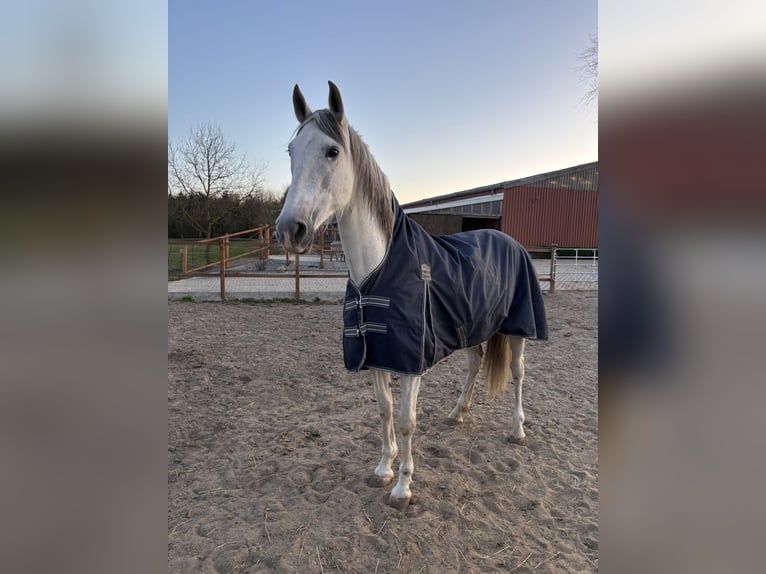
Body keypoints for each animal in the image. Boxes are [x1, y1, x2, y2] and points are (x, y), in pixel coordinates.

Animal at [275, 81, 548, 511]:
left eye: (332, 151)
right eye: (291, 151)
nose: (290, 229)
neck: (377, 268)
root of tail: (509, 238)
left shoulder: (410, 362)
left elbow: (406, 421)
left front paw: (403, 487)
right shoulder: (377, 354)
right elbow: (384, 412)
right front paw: (383, 470)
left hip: (519, 327)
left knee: (519, 372)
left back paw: (517, 430)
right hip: (473, 327)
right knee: (476, 362)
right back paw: (457, 413)